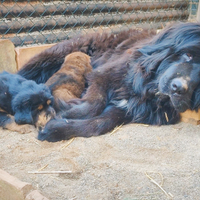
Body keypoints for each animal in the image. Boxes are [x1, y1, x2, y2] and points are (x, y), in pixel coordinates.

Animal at [14, 21, 200, 141]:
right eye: (188, 55)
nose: (178, 88)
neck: (149, 90)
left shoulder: (128, 108)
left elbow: (99, 123)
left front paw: (56, 128)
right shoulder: (103, 75)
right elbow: (93, 104)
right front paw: (65, 111)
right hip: (47, 59)